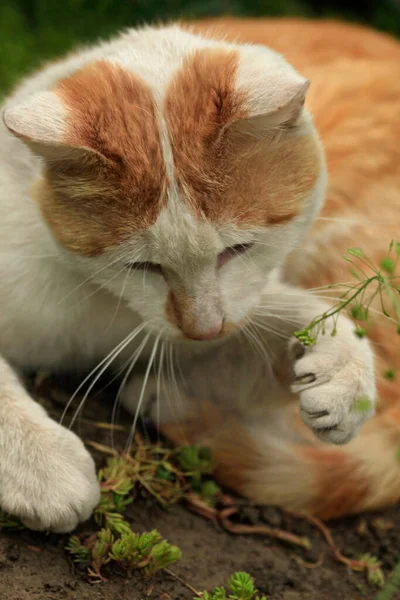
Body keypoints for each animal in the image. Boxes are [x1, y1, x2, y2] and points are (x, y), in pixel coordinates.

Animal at [0, 15, 396, 536]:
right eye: (140, 266)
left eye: (239, 249)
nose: (204, 328)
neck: (99, 299)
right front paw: (43, 466)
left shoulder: (216, 321)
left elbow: (300, 315)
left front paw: (341, 370)